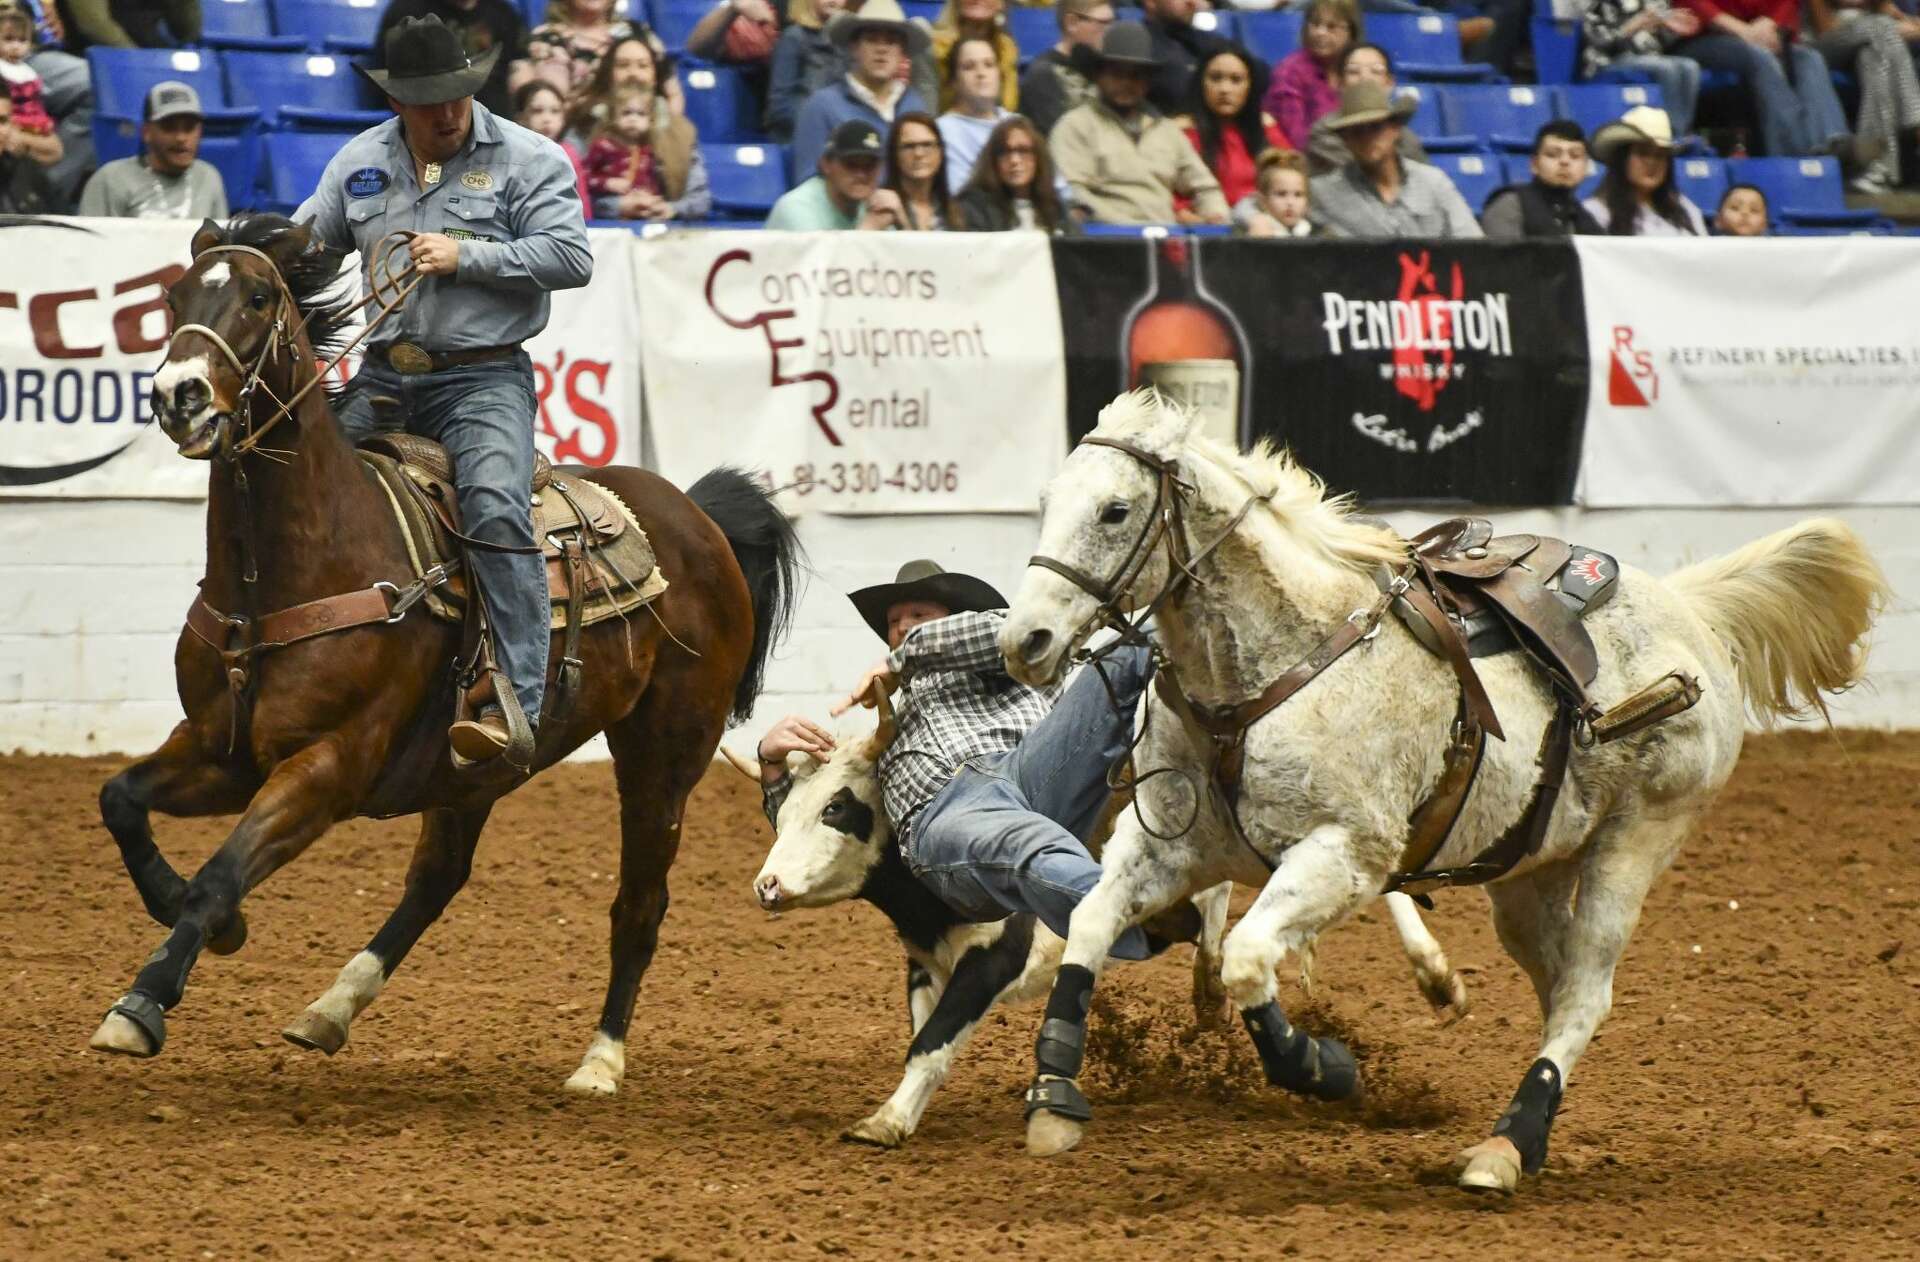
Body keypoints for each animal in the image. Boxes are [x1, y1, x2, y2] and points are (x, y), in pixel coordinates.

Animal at [88, 217, 794, 1091]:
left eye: (255, 297)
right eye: (174, 298)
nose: (177, 395)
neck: (290, 573)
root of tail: (694, 514)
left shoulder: (328, 767)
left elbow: (220, 874)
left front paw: (142, 1002)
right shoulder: (223, 753)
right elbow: (121, 800)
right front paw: (199, 919)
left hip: (664, 753)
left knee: (639, 904)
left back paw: (600, 1060)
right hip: (474, 766)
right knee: (438, 877)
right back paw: (331, 1009)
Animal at [1006, 391, 1889, 1190]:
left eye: (1116, 510)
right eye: (1047, 503)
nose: (1027, 641)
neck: (1274, 666)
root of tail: (1691, 611)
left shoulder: (1347, 858)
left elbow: (1251, 960)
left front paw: (1322, 1067)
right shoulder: (1166, 846)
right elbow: (1090, 927)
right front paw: (1053, 1093)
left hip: (1634, 844)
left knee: (1586, 993)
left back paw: (1503, 1150)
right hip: (1528, 875)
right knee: (1559, 986)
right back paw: (1528, 1134)